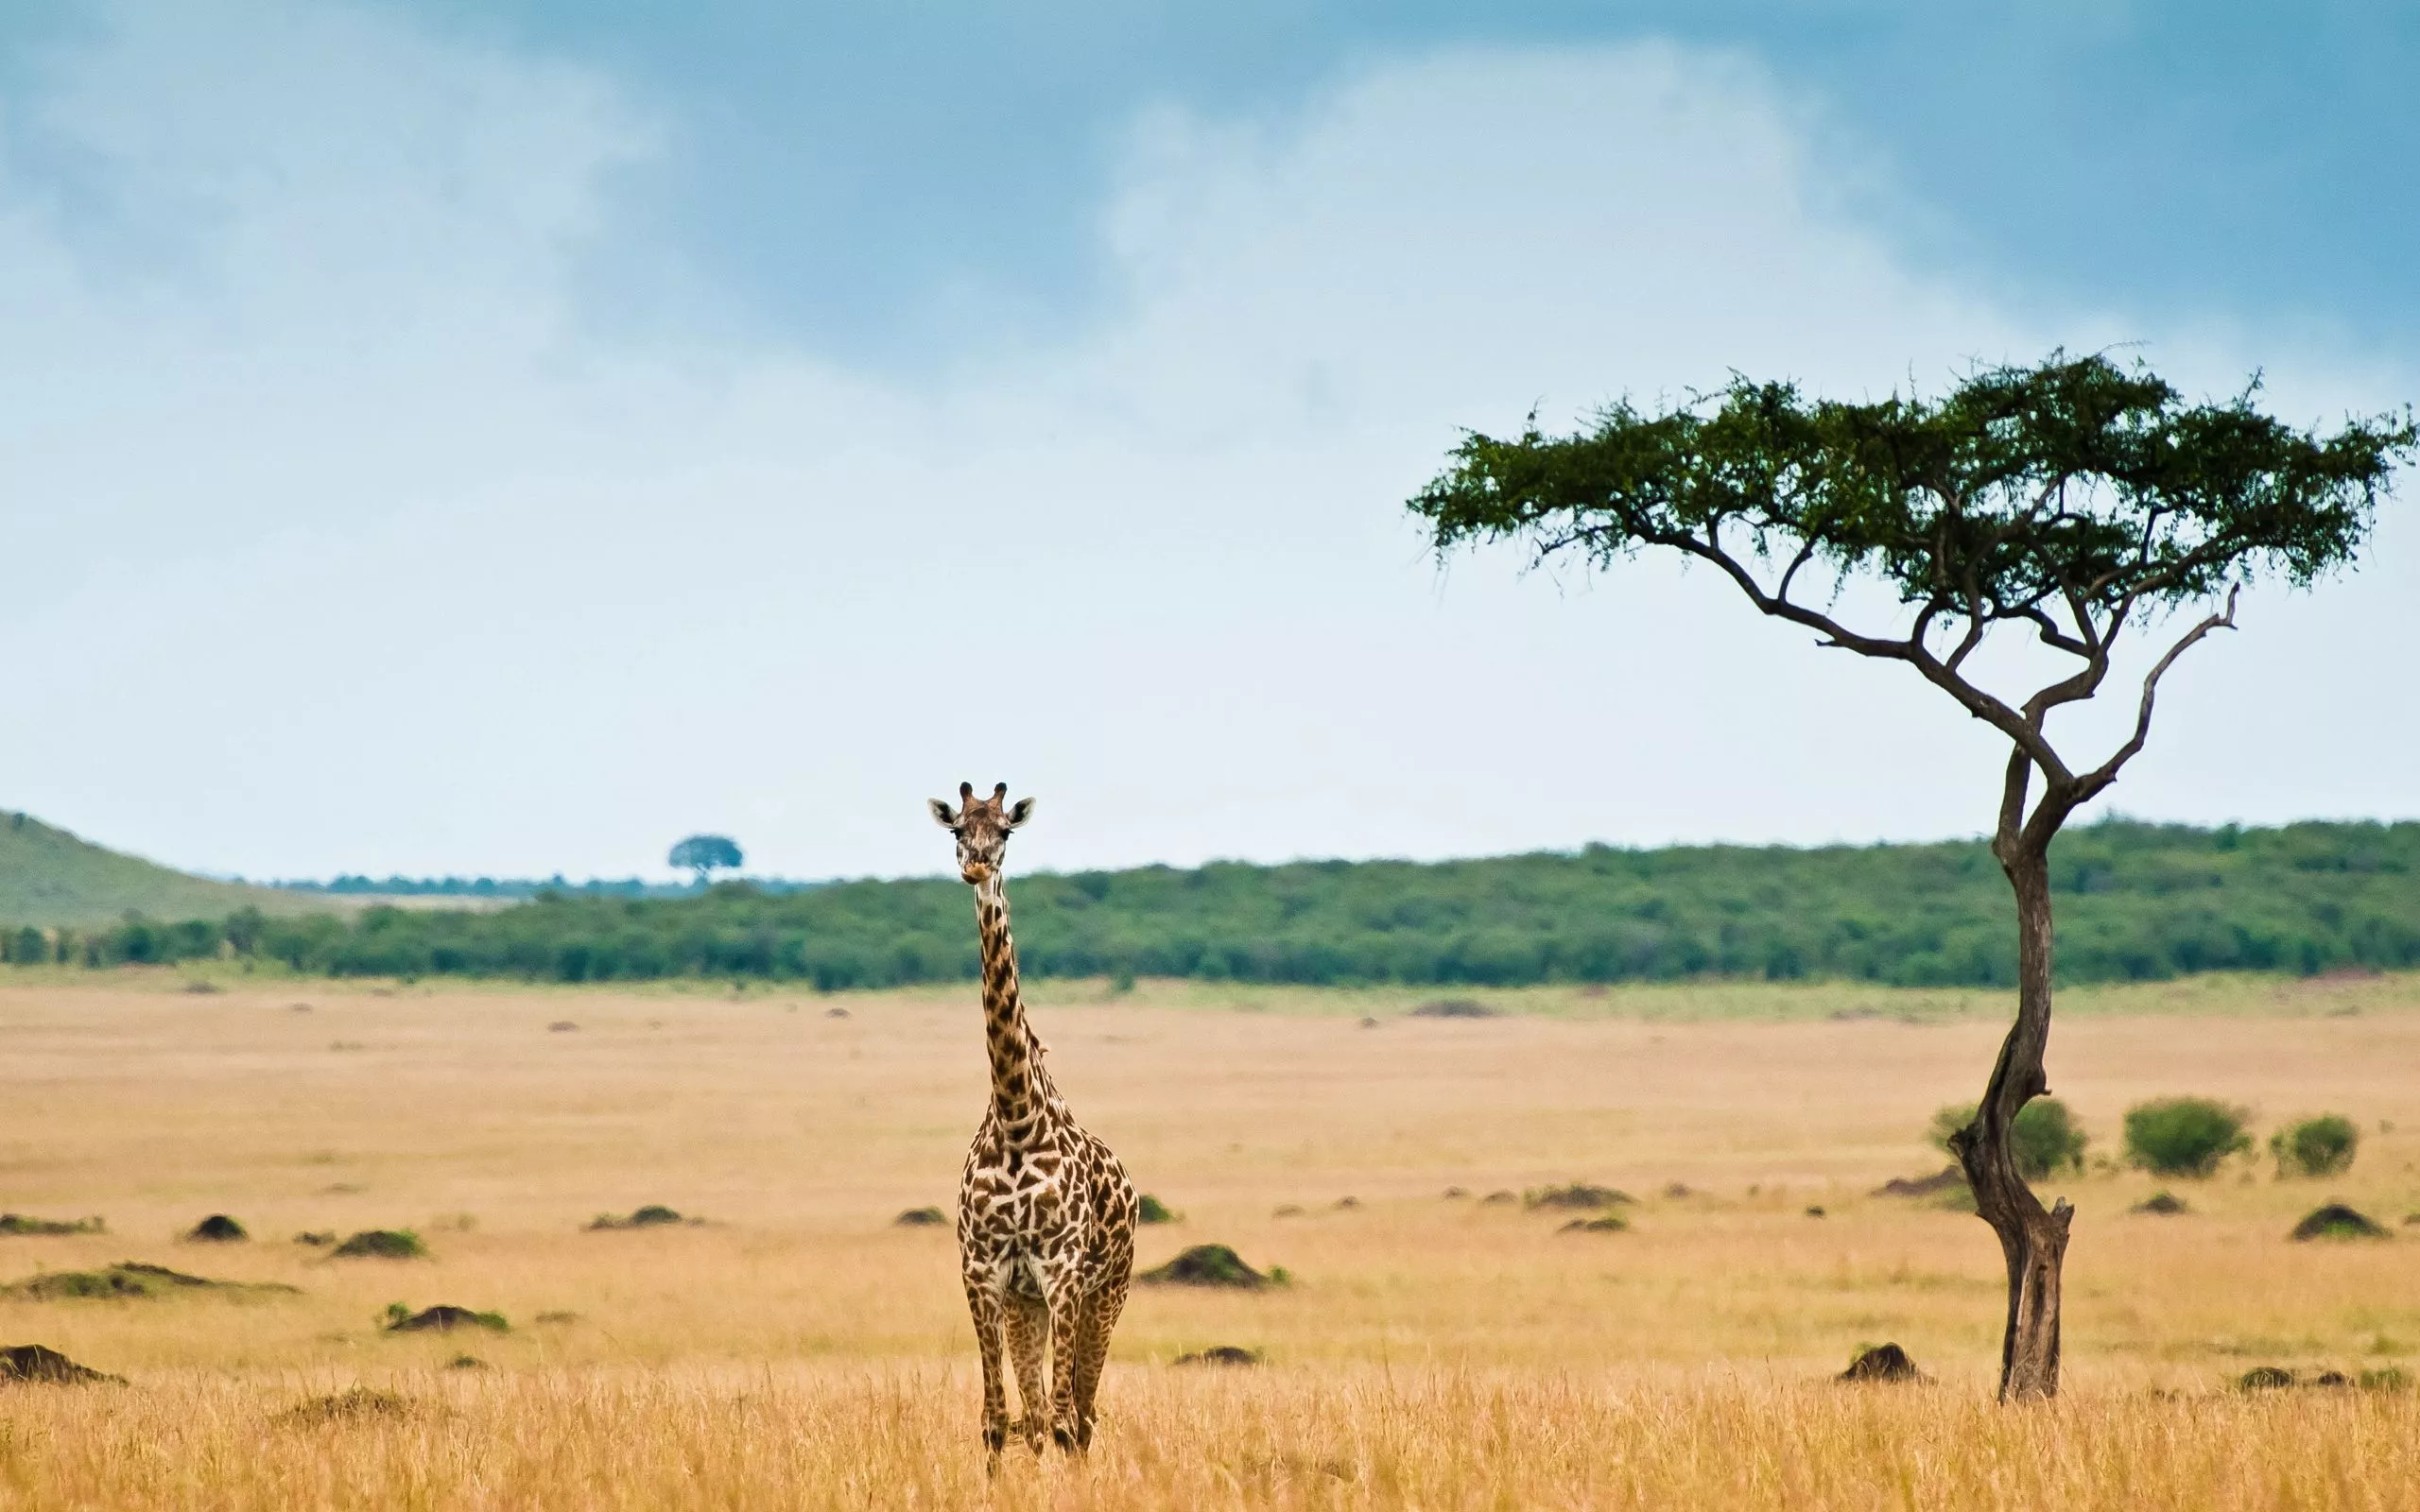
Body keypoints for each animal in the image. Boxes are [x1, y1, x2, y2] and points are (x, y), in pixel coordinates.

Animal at [928, 781, 1138, 1463]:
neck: (1018, 1118)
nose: (976, 867)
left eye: (1006, 831)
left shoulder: (1063, 1273)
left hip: (1107, 1293)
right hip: (1028, 1306)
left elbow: (1067, 1417)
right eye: (957, 829)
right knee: (1040, 1413)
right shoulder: (985, 1273)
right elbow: (999, 1418)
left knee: (1082, 1415)